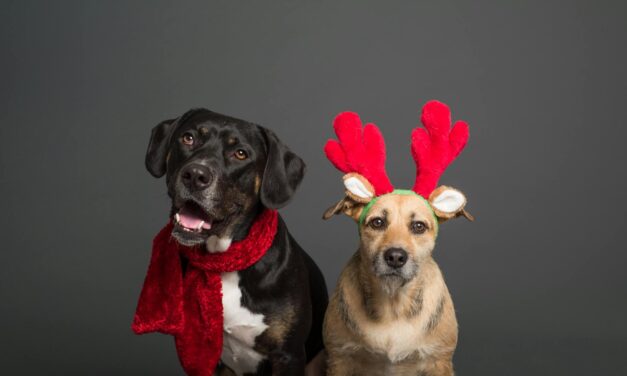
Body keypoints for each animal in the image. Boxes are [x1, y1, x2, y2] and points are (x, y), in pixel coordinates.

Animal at [144, 108, 328, 374]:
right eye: (188, 138)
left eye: (240, 153)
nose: (195, 175)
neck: (225, 258)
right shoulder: (207, 357)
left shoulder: (289, 355)